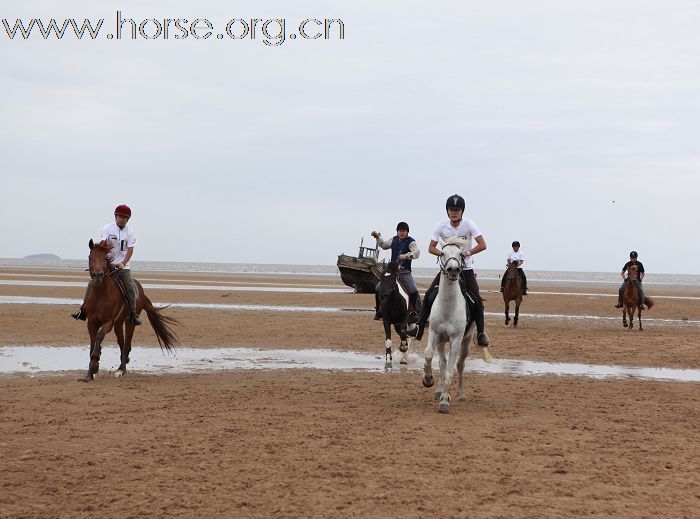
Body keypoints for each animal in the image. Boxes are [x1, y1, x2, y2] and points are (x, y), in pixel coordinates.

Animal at [80, 240, 182, 382]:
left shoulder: (108, 323)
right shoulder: (91, 322)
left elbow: (99, 337)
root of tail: (141, 290)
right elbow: (93, 342)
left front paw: (94, 365)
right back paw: (123, 362)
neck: (101, 295)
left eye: (106, 258)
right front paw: (90, 372)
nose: (97, 276)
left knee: (127, 342)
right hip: (118, 323)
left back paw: (121, 369)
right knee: (121, 342)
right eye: (90, 257)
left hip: (129, 322)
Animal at [422, 239, 482, 414]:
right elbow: (428, 354)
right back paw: (438, 390)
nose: (453, 270)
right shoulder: (434, 333)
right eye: (442, 253)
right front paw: (428, 380)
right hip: (442, 341)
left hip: (466, 341)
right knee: (442, 362)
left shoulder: (456, 340)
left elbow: (450, 369)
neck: (448, 305)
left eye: (461, 254)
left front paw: (444, 402)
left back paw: (459, 395)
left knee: (460, 365)